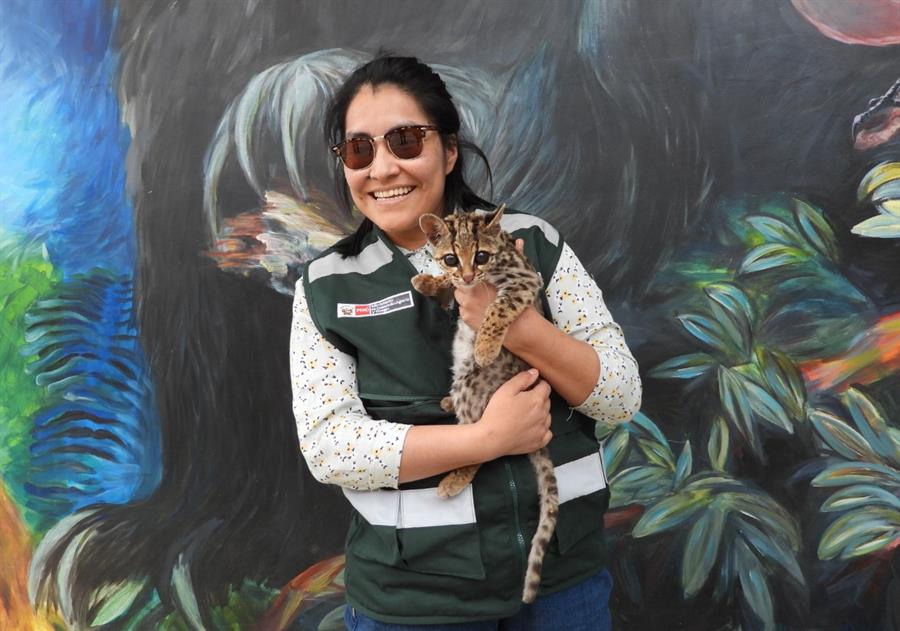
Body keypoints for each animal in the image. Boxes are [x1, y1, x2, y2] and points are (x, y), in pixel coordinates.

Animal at [414, 205, 556, 604]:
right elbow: (449, 286)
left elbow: (499, 307)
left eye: (480, 256)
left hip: (473, 385)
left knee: (480, 442)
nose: (466, 274)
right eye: (451, 257)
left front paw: (487, 344)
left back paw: (454, 479)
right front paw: (431, 282)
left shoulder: (525, 280)